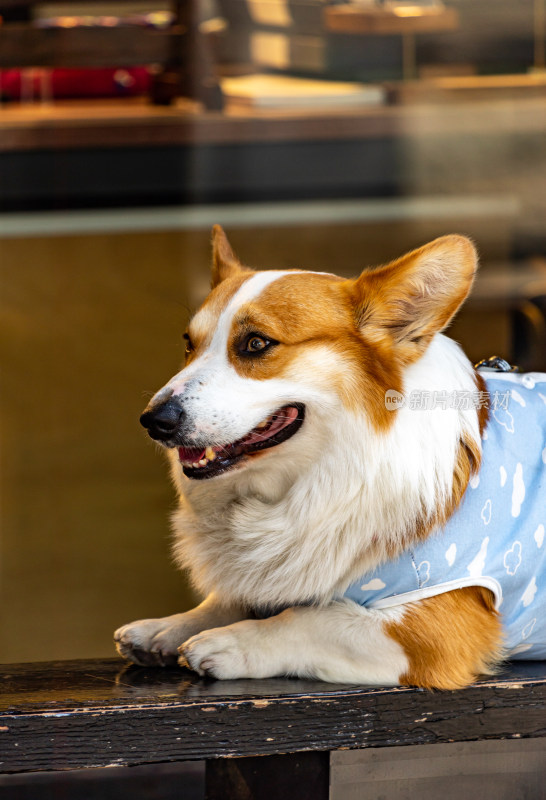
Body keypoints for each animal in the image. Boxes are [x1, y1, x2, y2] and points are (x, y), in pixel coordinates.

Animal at [112, 228, 540, 692]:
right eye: (189, 344)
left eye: (256, 343)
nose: (154, 421)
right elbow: (239, 597)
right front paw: (168, 626)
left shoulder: (432, 628)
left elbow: (313, 620)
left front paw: (230, 642)